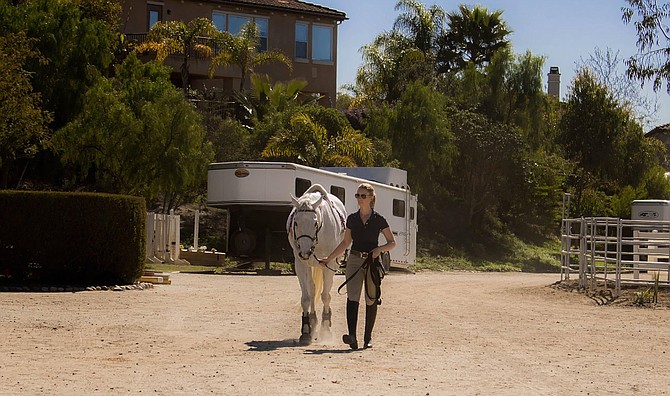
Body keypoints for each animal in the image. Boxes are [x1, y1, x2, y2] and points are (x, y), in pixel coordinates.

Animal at [288, 184, 346, 344]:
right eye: (296, 222)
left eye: (315, 222)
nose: (305, 251)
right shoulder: (301, 264)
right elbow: (307, 298)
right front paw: (306, 330)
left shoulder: (329, 263)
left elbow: (325, 296)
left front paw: (325, 328)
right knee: (312, 291)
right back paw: (313, 322)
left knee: (325, 293)